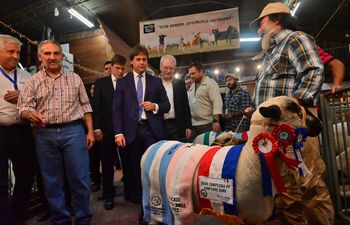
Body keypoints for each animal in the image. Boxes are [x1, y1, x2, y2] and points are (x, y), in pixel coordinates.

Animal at [141, 96, 322, 225]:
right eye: (293, 108)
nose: (319, 125)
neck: (251, 161)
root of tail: (154, 145)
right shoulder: (245, 217)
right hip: (157, 194)